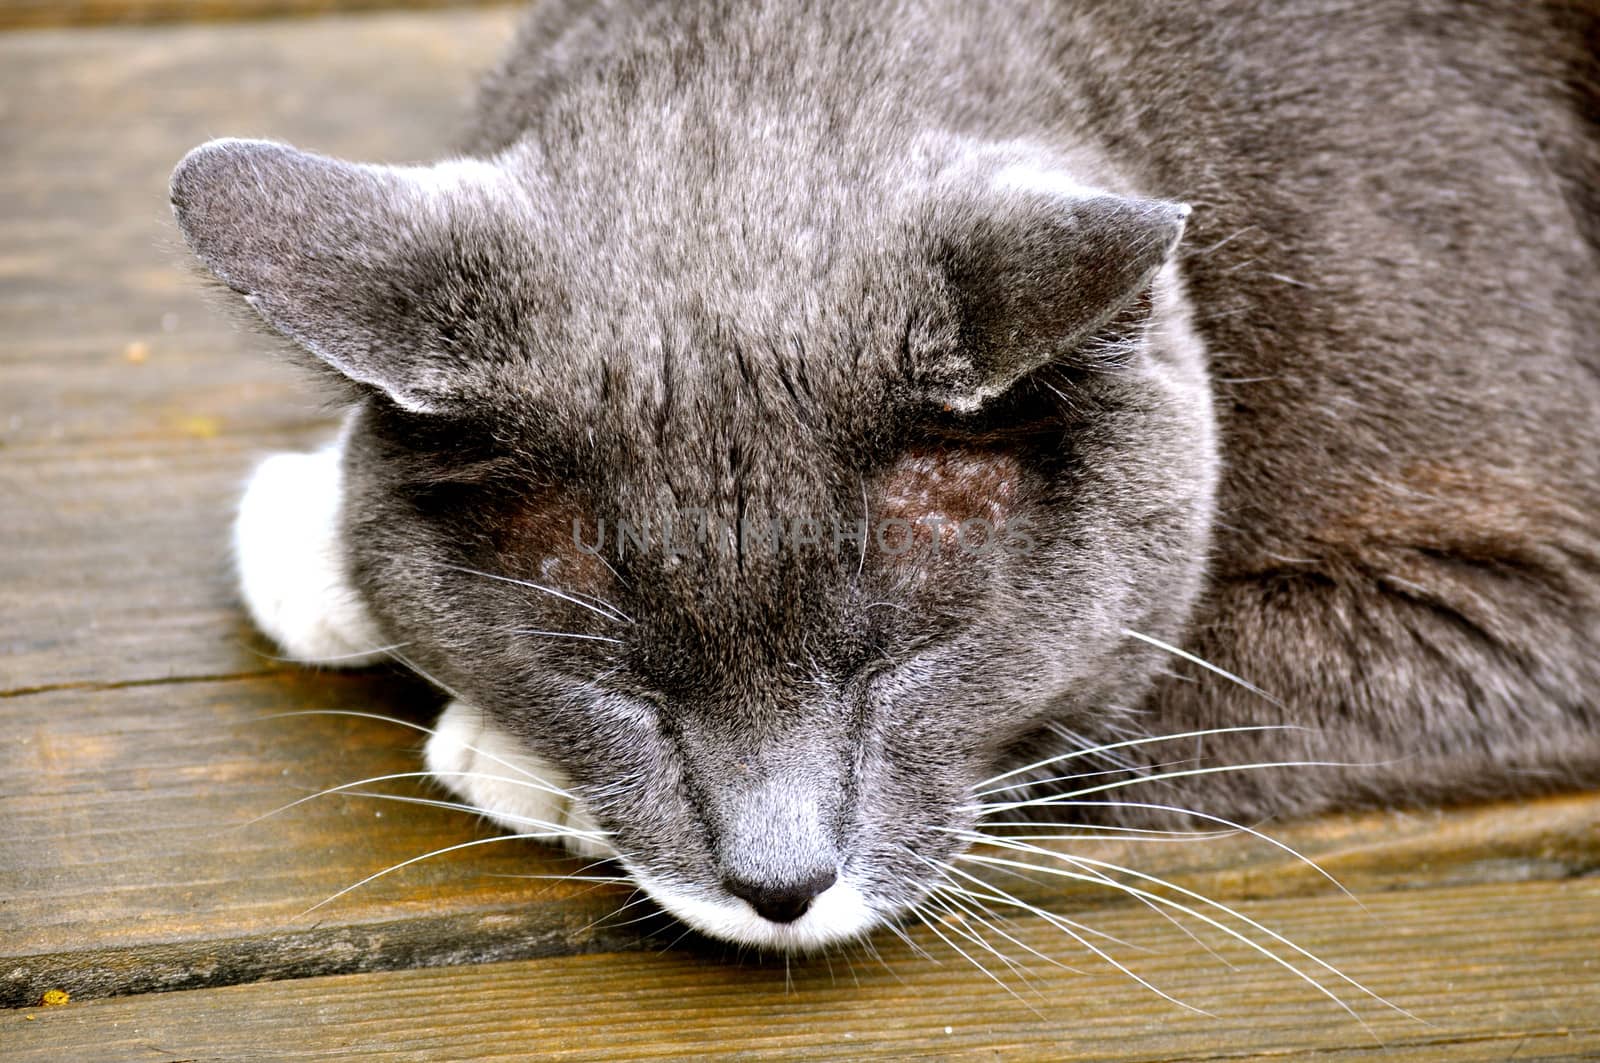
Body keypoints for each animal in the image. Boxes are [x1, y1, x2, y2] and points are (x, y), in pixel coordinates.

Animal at [165, 0, 1600, 947]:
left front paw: (510, 756)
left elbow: (1146, 687)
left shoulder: (1530, 588)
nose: (779, 883)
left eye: (903, 665)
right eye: (618, 685)